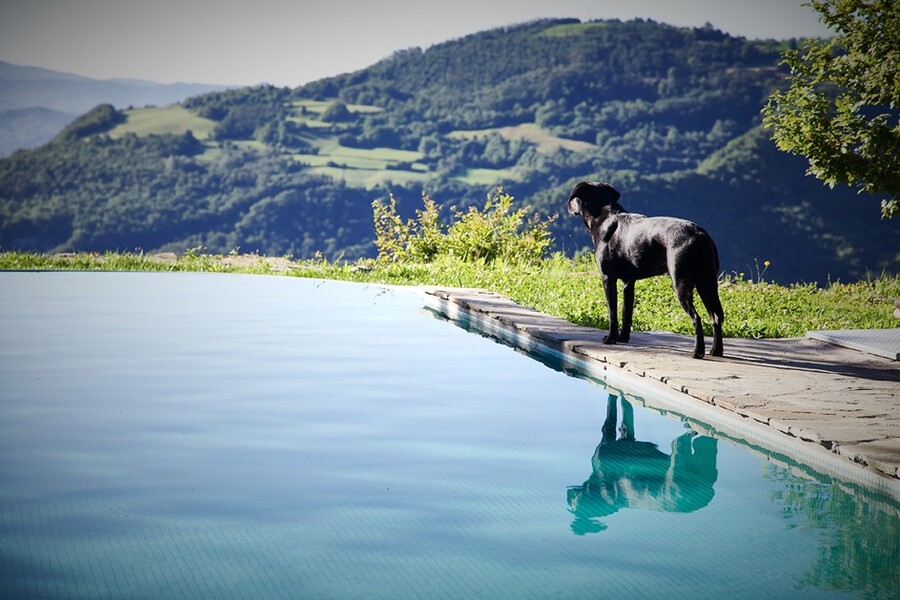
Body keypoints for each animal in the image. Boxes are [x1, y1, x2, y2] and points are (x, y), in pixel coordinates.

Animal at [568, 180, 724, 358]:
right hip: (707, 283)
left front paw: (610, 339)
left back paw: (697, 352)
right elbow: (626, 311)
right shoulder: (628, 282)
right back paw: (716, 351)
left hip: (681, 283)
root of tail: (699, 235)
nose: (568, 205)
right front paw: (623, 338)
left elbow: (612, 312)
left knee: (697, 318)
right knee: (716, 316)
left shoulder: (608, 278)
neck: (603, 215)